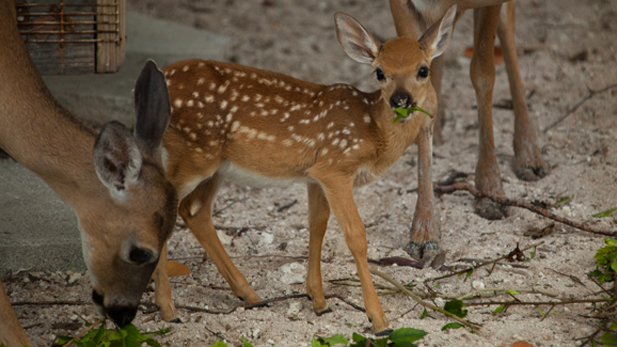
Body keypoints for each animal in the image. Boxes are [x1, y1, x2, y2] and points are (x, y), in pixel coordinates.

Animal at [150, 6, 458, 336]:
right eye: (379, 72)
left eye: (423, 70)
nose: (401, 99)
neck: (373, 130)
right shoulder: (336, 167)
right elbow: (355, 235)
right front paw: (379, 320)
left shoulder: (316, 175)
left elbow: (317, 226)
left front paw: (319, 302)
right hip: (194, 154)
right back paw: (168, 310)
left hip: (213, 165)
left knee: (195, 211)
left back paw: (250, 295)